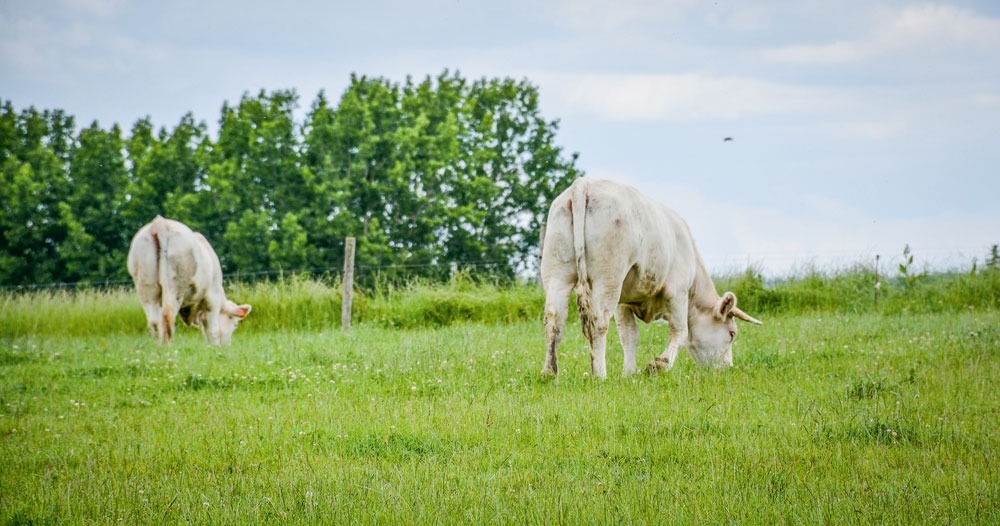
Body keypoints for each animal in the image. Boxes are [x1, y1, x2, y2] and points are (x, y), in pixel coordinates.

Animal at [125, 216, 252, 346]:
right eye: (235, 324)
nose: (226, 346)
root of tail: (161, 223)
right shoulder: (213, 298)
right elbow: (213, 331)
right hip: (174, 286)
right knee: (168, 316)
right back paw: (168, 347)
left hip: (146, 287)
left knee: (154, 322)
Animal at [544, 178, 760, 380]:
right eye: (732, 334)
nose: (727, 368)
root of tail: (584, 184)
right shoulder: (677, 292)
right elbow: (681, 332)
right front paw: (658, 365)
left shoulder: (624, 302)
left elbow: (629, 335)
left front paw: (629, 373)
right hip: (609, 278)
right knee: (598, 322)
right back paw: (600, 375)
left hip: (557, 274)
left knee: (554, 320)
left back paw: (549, 373)